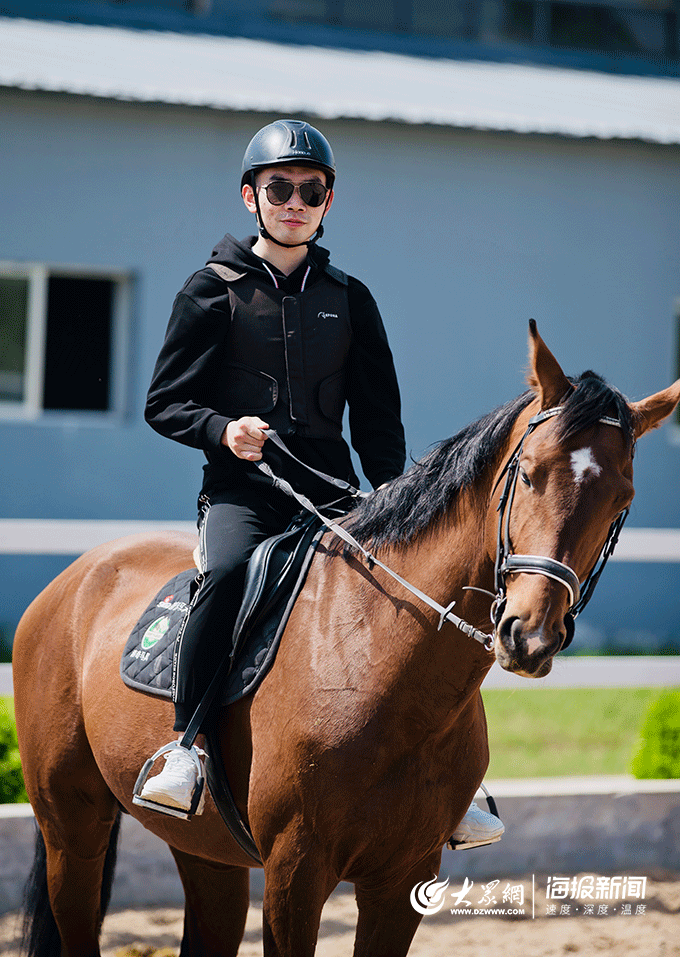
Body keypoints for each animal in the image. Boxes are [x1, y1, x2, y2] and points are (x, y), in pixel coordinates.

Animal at [11, 324, 680, 956]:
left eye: (622, 499)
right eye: (532, 474)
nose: (531, 634)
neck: (375, 657)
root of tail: (76, 575)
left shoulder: (404, 877)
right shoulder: (295, 873)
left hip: (203, 849)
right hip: (72, 826)